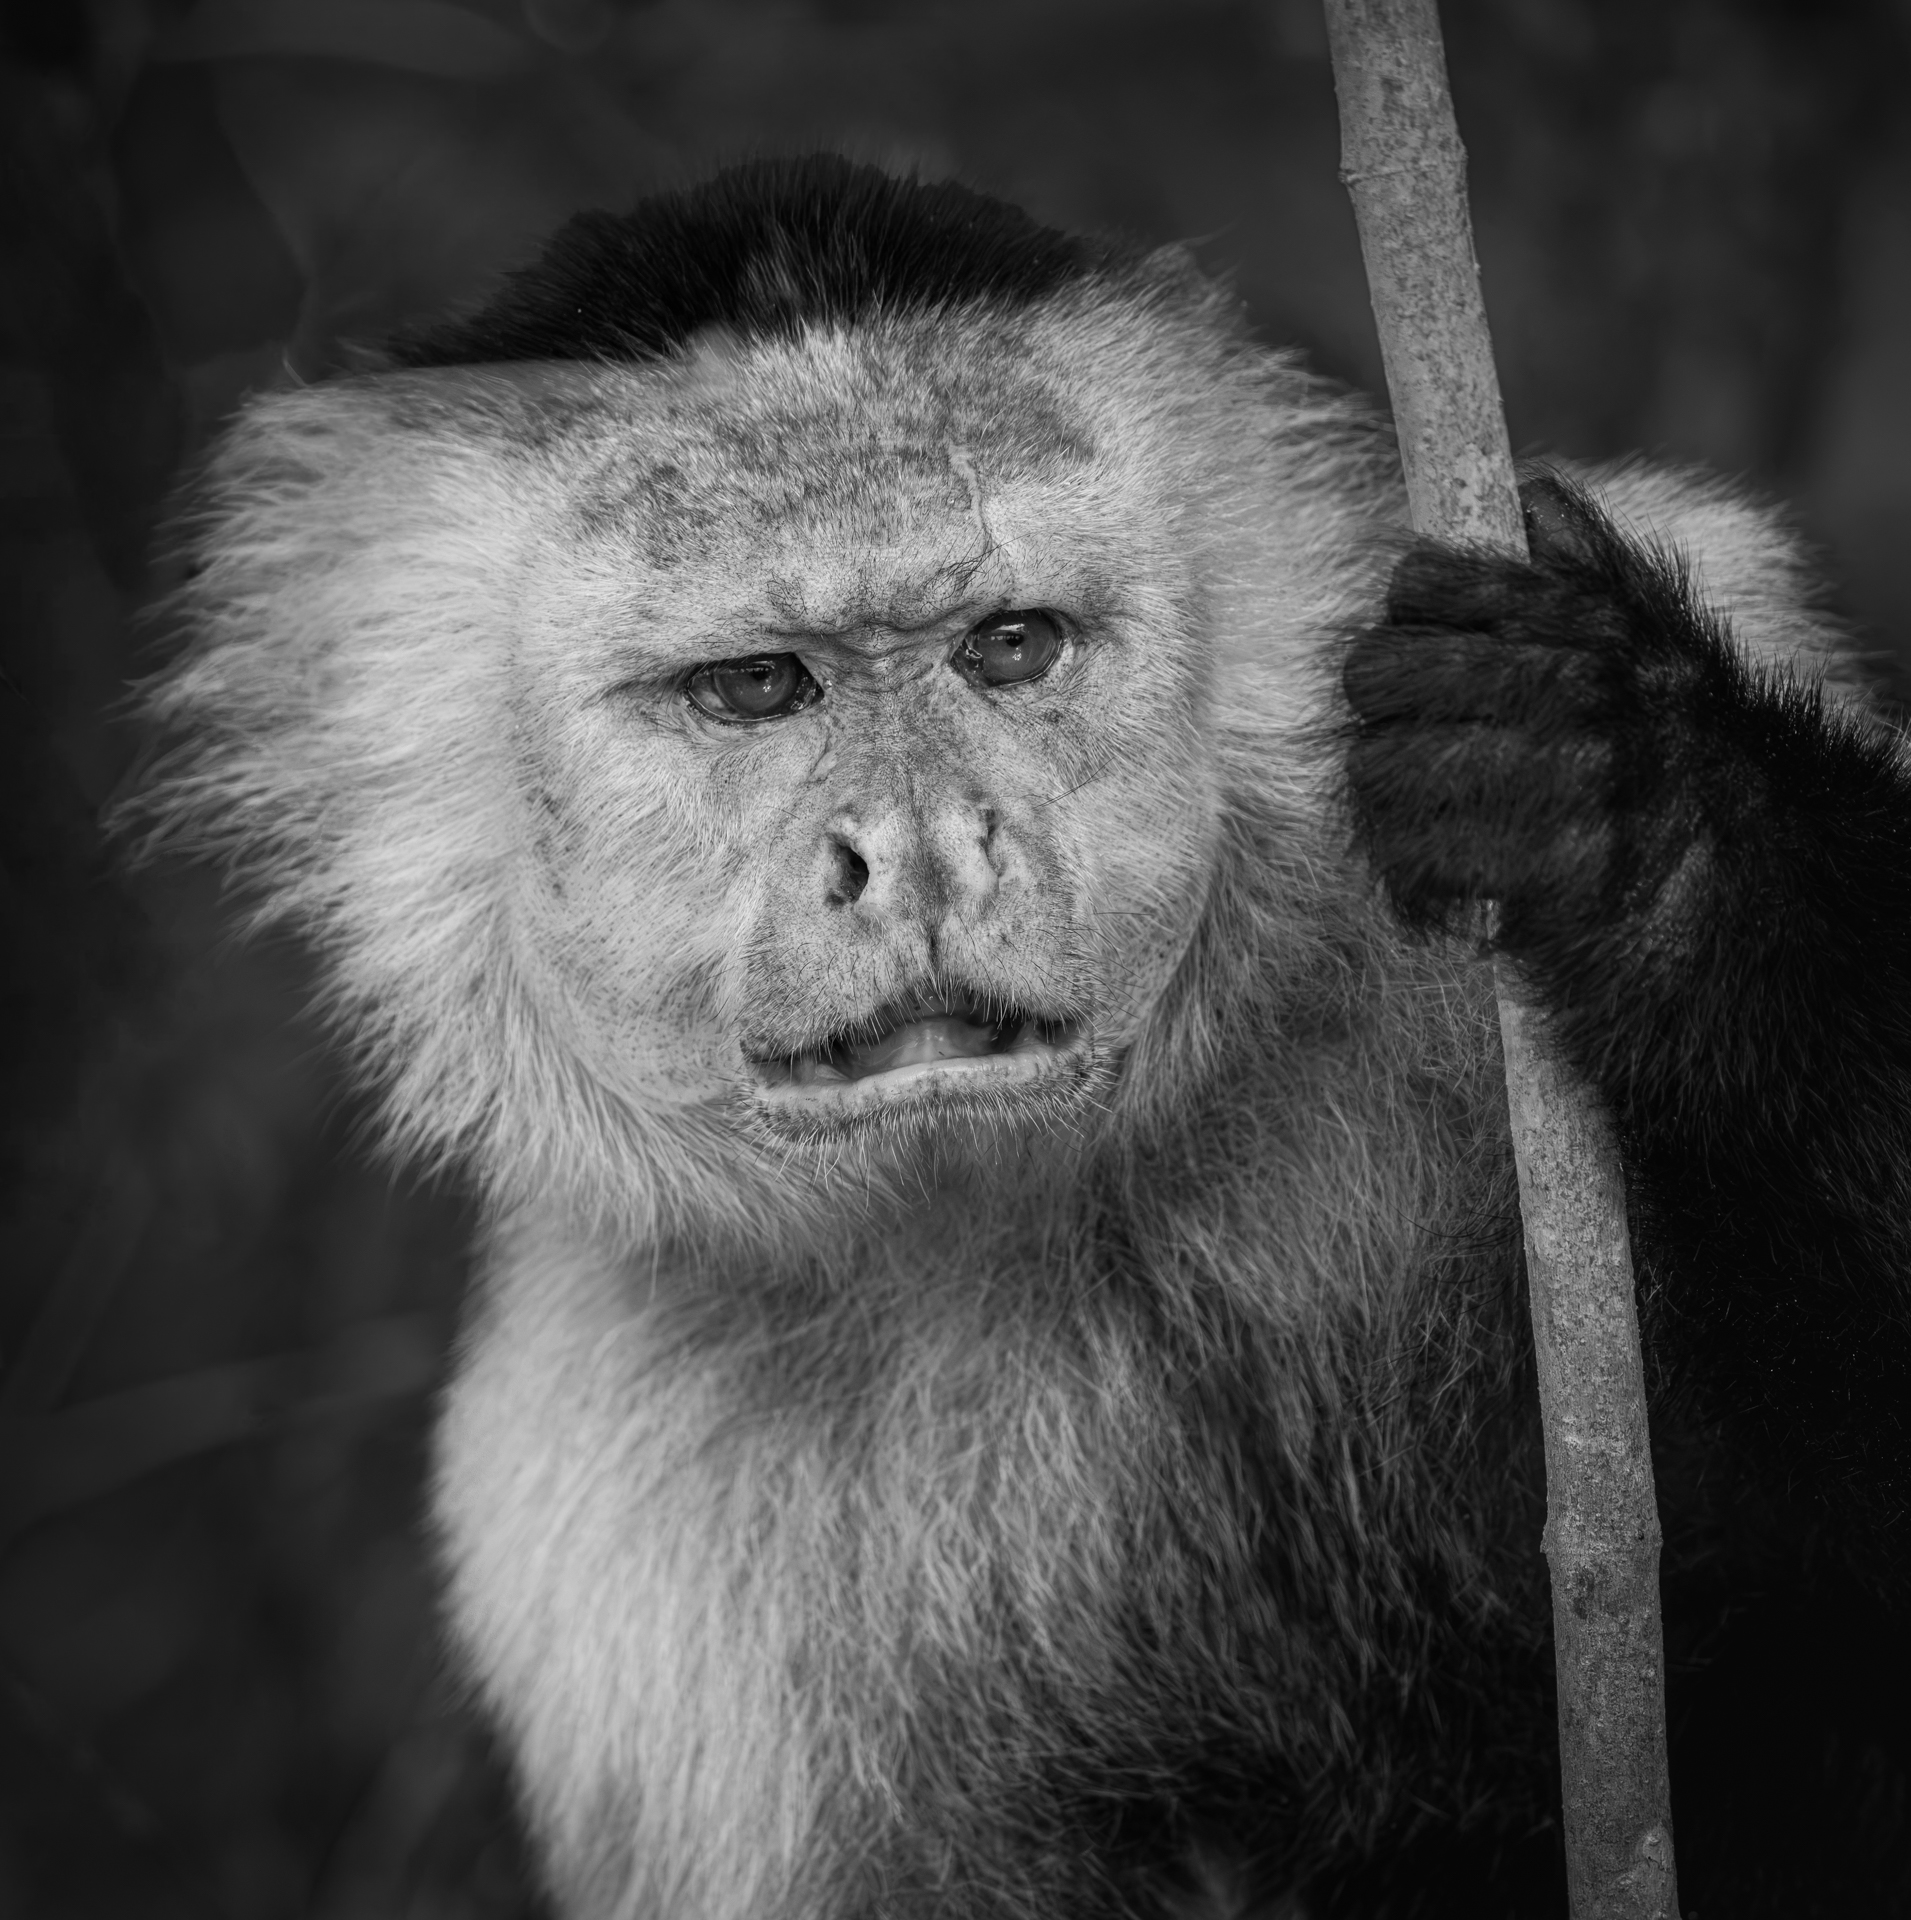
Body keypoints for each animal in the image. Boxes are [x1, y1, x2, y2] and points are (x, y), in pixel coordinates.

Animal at [139, 156, 1911, 1916]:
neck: (1060, 1195)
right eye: (755, 688)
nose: (921, 845)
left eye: (1008, 645)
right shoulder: (615, 1548)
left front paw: (1636, 814)